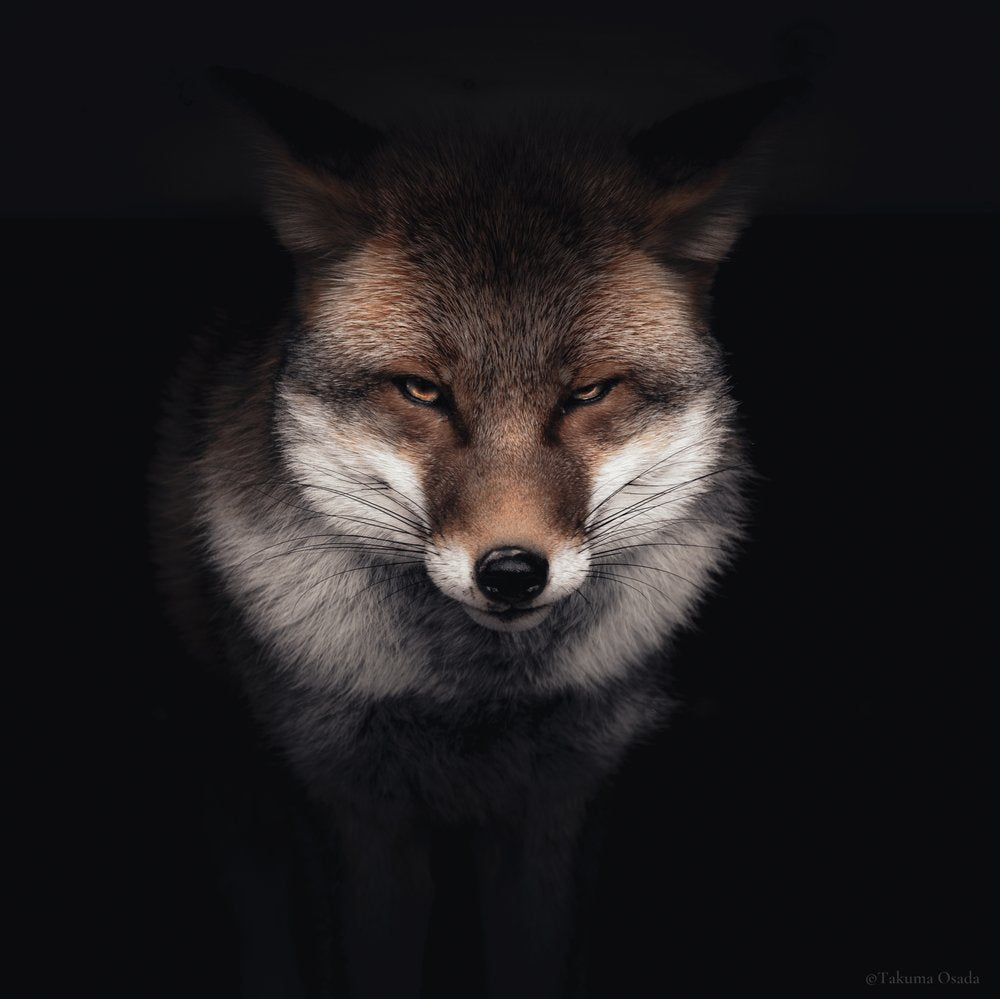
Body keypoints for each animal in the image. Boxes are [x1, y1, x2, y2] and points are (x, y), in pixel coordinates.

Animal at [151, 69, 798, 998]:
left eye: (588, 392)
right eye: (423, 391)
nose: (512, 571)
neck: (472, 706)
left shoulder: (561, 804)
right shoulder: (342, 803)